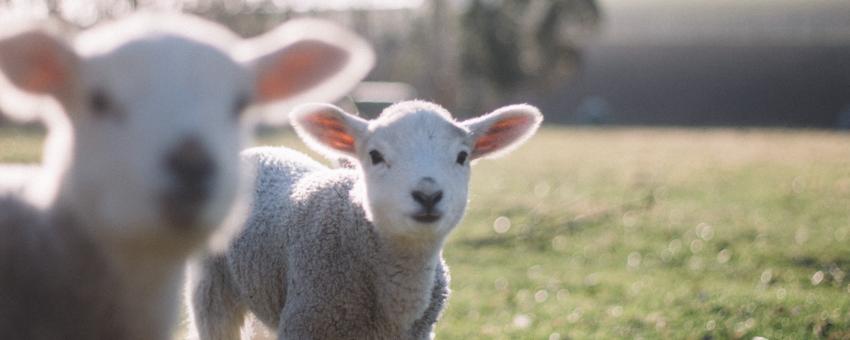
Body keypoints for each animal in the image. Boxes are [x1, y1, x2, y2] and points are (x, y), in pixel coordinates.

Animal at [188, 99, 540, 338]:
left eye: (462, 156)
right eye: (375, 156)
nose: (428, 195)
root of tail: (263, 150)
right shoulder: (306, 322)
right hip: (211, 290)